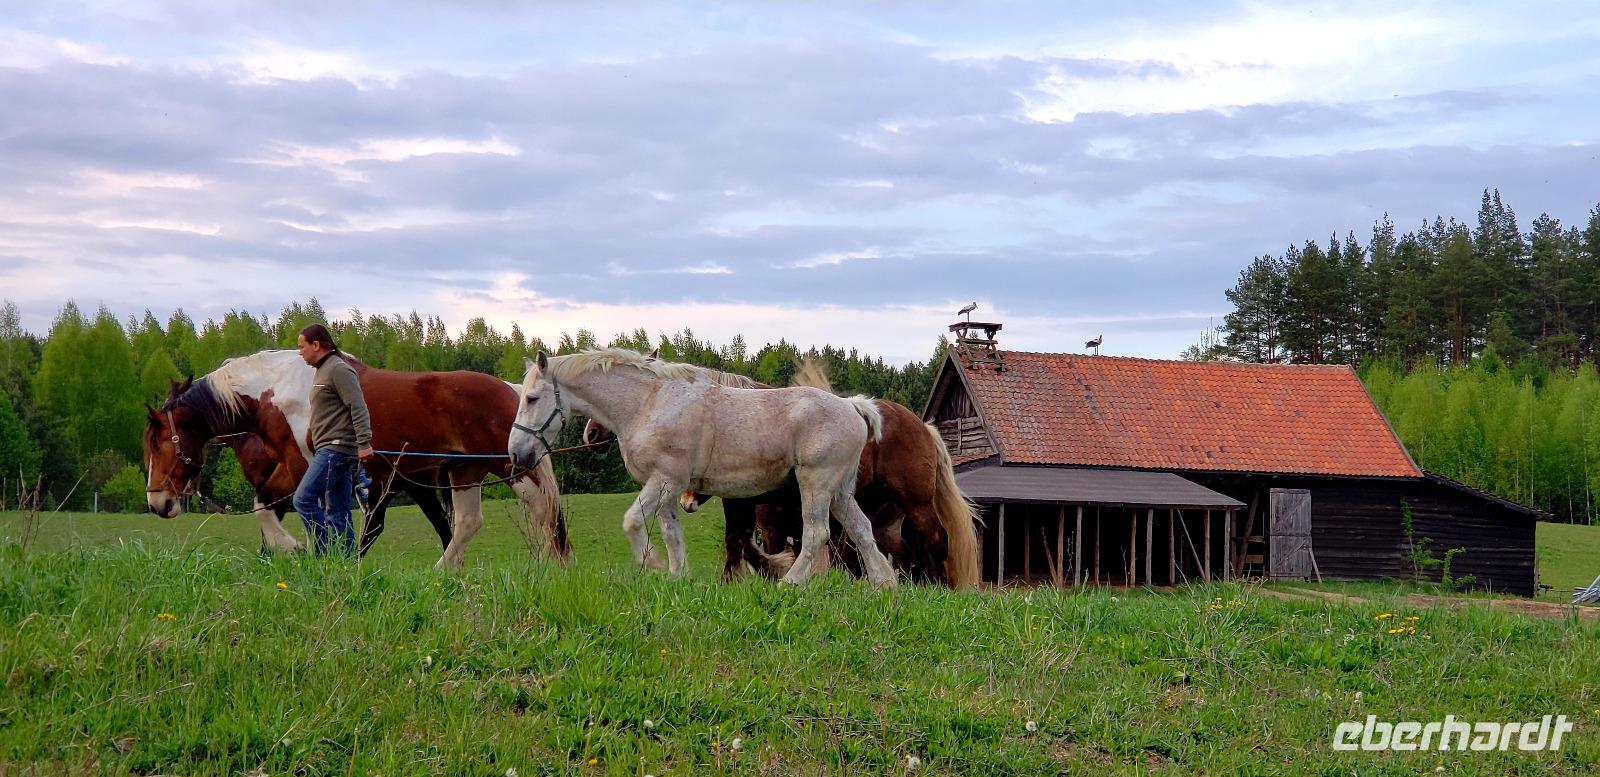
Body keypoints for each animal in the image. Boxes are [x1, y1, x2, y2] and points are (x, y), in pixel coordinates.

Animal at [145, 350, 568, 568]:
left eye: (160, 444)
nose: (157, 503)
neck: (278, 390)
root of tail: (513, 390)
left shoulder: (301, 467)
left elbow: (273, 510)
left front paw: (296, 550)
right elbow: (283, 511)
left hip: (512, 467)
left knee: (543, 509)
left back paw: (553, 567)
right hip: (465, 471)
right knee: (467, 522)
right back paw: (444, 572)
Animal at [509, 348, 896, 587]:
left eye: (531, 398)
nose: (516, 454)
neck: (648, 404)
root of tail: (852, 406)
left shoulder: (664, 481)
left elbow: (632, 521)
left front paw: (652, 565)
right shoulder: (667, 490)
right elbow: (672, 535)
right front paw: (677, 576)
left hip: (815, 484)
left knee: (817, 534)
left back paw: (791, 583)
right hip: (839, 491)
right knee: (861, 529)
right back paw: (883, 584)